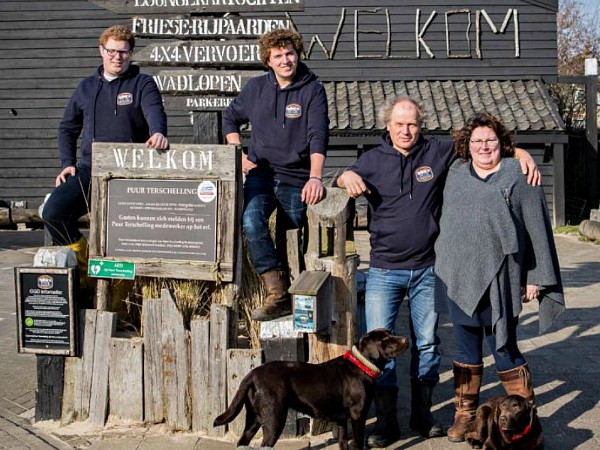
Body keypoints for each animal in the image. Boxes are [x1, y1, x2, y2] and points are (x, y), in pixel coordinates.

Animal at [211, 326, 408, 450]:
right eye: (385, 339)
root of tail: (252, 373)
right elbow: (358, 444)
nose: (406, 339)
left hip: (255, 417)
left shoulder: (342, 419)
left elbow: (343, 443)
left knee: (243, 441)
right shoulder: (357, 414)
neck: (362, 365)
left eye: (391, 333)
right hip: (274, 418)